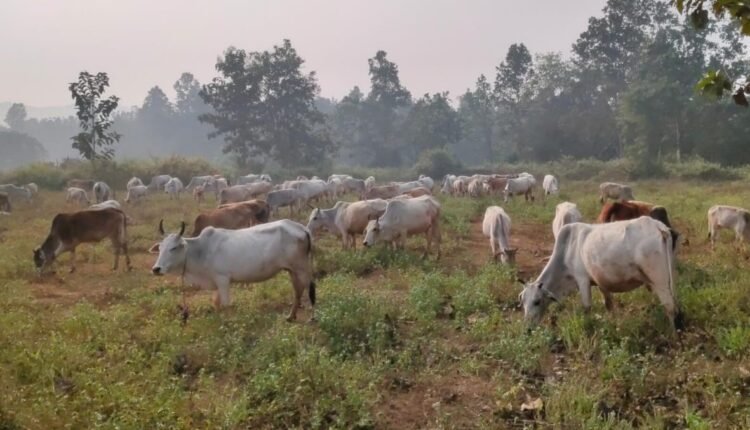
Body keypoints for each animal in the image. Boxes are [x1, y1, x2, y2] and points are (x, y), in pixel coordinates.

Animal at [150, 219, 315, 321]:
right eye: (160, 248)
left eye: (173, 248)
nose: (156, 269)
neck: (201, 250)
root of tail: (302, 228)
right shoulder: (217, 283)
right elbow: (216, 304)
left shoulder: (223, 279)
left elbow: (225, 305)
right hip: (292, 269)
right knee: (297, 290)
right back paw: (291, 316)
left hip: (301, 268)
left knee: (310, 288)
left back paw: (312, 317)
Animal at [519, 217, 681, 330]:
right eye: (523, 302)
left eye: (537, 301)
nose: (527, 327)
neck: (566, 251)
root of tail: (660, 228)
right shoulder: (601, 282)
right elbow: (609, 305)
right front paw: (614, 324)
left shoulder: (582, 280)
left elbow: (586, 307)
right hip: (669, 277)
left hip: (659, 282)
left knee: (670, 308)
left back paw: (673, 336)